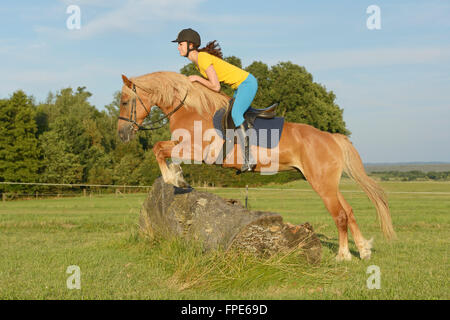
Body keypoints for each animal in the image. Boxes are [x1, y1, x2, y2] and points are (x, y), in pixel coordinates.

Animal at [118, 71, 396, 262]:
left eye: (123, 102)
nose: (122, 135)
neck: (191, 110)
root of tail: (331, 137)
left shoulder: (199, 152)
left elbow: (159, 149)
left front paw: (174, 178)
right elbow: (161, 148)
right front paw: (176, 176)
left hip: (322, 184)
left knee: (339, 215)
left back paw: (343, 255)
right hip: (327, 183)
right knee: (348, 211)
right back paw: (363, 250)